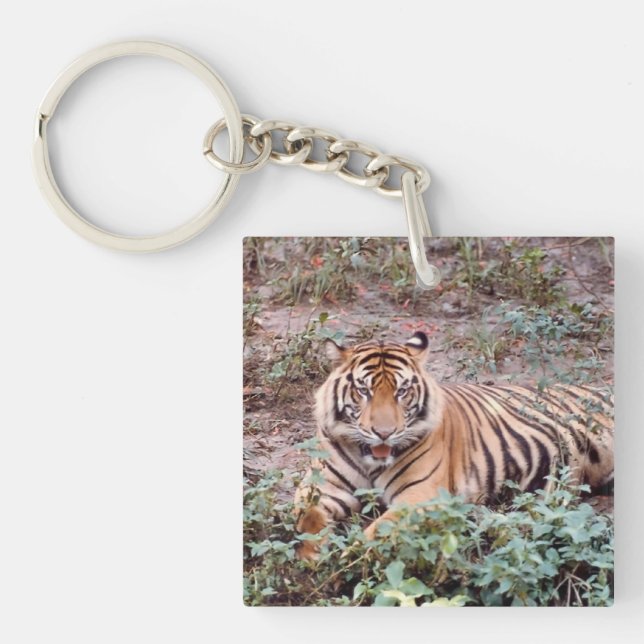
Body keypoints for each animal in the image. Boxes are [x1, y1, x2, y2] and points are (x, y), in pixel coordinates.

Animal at [294, 331, 613, 559]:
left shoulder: (419, 495)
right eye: (364, 390)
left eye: (402, 391)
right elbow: (308, 519)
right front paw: (311, 557)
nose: (384, 433)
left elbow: (379, 531)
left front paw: (348, 559)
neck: (369, 461)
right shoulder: (322, 487)